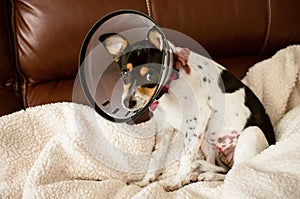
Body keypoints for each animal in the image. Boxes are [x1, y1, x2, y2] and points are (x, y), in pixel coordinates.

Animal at [99, 26, 274, 191]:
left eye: (150, 76)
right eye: (125, 73)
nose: (128, 103)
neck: (169, 87)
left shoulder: (197, 119)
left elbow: (185, 157)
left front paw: (175, 182)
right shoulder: (165, 129)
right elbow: (155, 158)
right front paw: (146, 181)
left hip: (250, 133)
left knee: (233, 173)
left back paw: (206, 175)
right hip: (207, 141)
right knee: (220, 167)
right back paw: (198, 174)